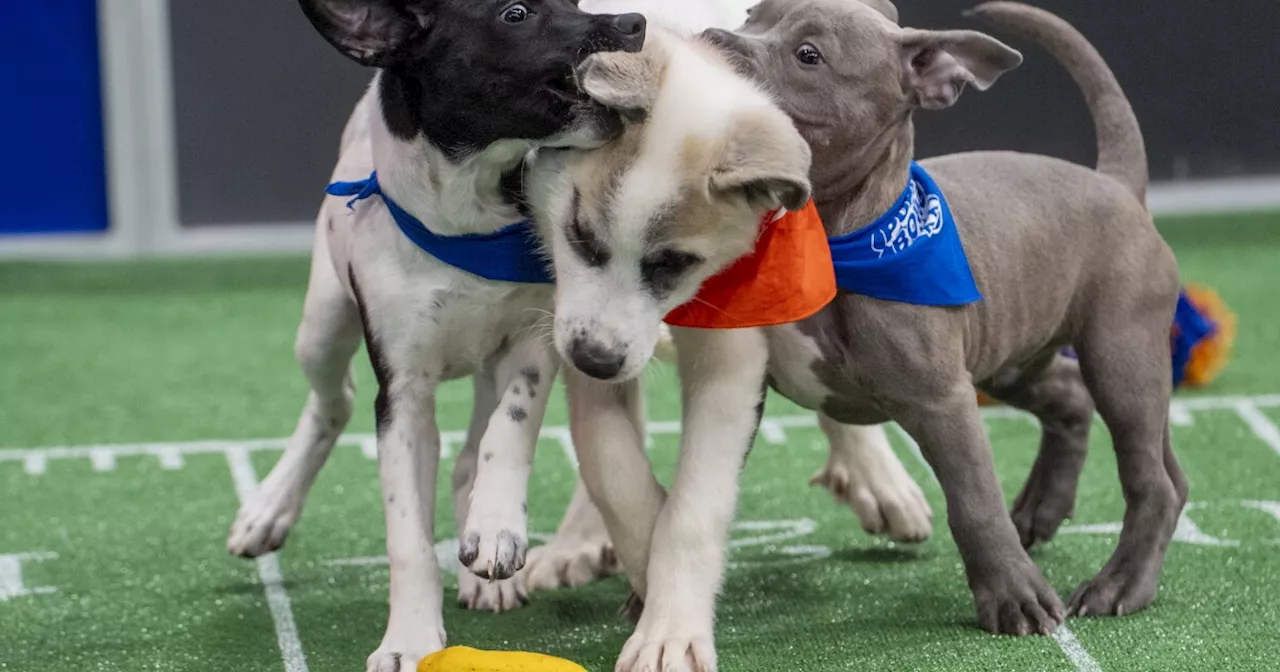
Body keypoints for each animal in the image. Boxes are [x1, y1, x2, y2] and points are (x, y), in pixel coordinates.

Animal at [225, 2, 645, 665]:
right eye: (515, 14)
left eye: (576, 4)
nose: (635, 23)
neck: (466, 218)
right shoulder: (402, 395)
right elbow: (407, 536)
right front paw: (410, 638)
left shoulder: (533, 341)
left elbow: (507, 430)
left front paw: (496, 528)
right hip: (321, 326)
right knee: (332, 400)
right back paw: (269, 507)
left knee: (469, 450)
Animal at [547, 0, 1187, 650]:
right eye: (753, 16)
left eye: (809, 54)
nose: (710, 38)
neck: (829, 244)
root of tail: (1113, 182)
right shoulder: (752, 386)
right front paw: (651, 594)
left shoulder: (943, 401)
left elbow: (973, 501)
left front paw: (1014, 596)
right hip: (1014, 359)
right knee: (1075, 403)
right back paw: (1040, 510)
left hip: (1121, 358)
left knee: (1150, 479)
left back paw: (1120, 584)